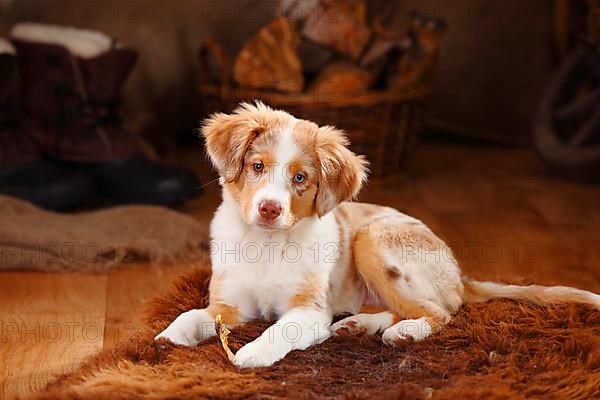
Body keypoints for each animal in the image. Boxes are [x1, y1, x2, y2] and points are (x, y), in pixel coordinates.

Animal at [156, 101, 600, 368]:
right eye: (257, 167)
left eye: (300, 178)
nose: (269, 209)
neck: (266, 245)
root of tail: (459, 273)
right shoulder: (229, 304)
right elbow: (192, 313)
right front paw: (168, 338)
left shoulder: (309, 311)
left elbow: (280, 329)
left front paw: (252, 353)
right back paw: (359, 326)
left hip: (372, 239)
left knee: (442, 310)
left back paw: (403, 332)